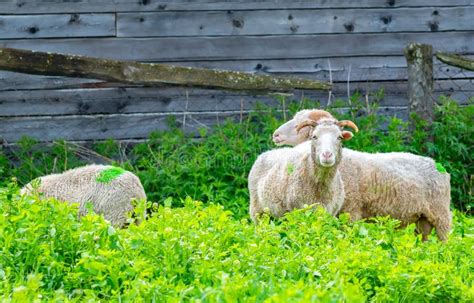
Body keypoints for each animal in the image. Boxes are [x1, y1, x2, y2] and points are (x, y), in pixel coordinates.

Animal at [270, 109, 452, 242]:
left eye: (298, 124)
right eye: (314, 136)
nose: (275, 135)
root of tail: (437, 164)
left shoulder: (351, 211)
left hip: (441, 213)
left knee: (444, 239)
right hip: (423, 218)